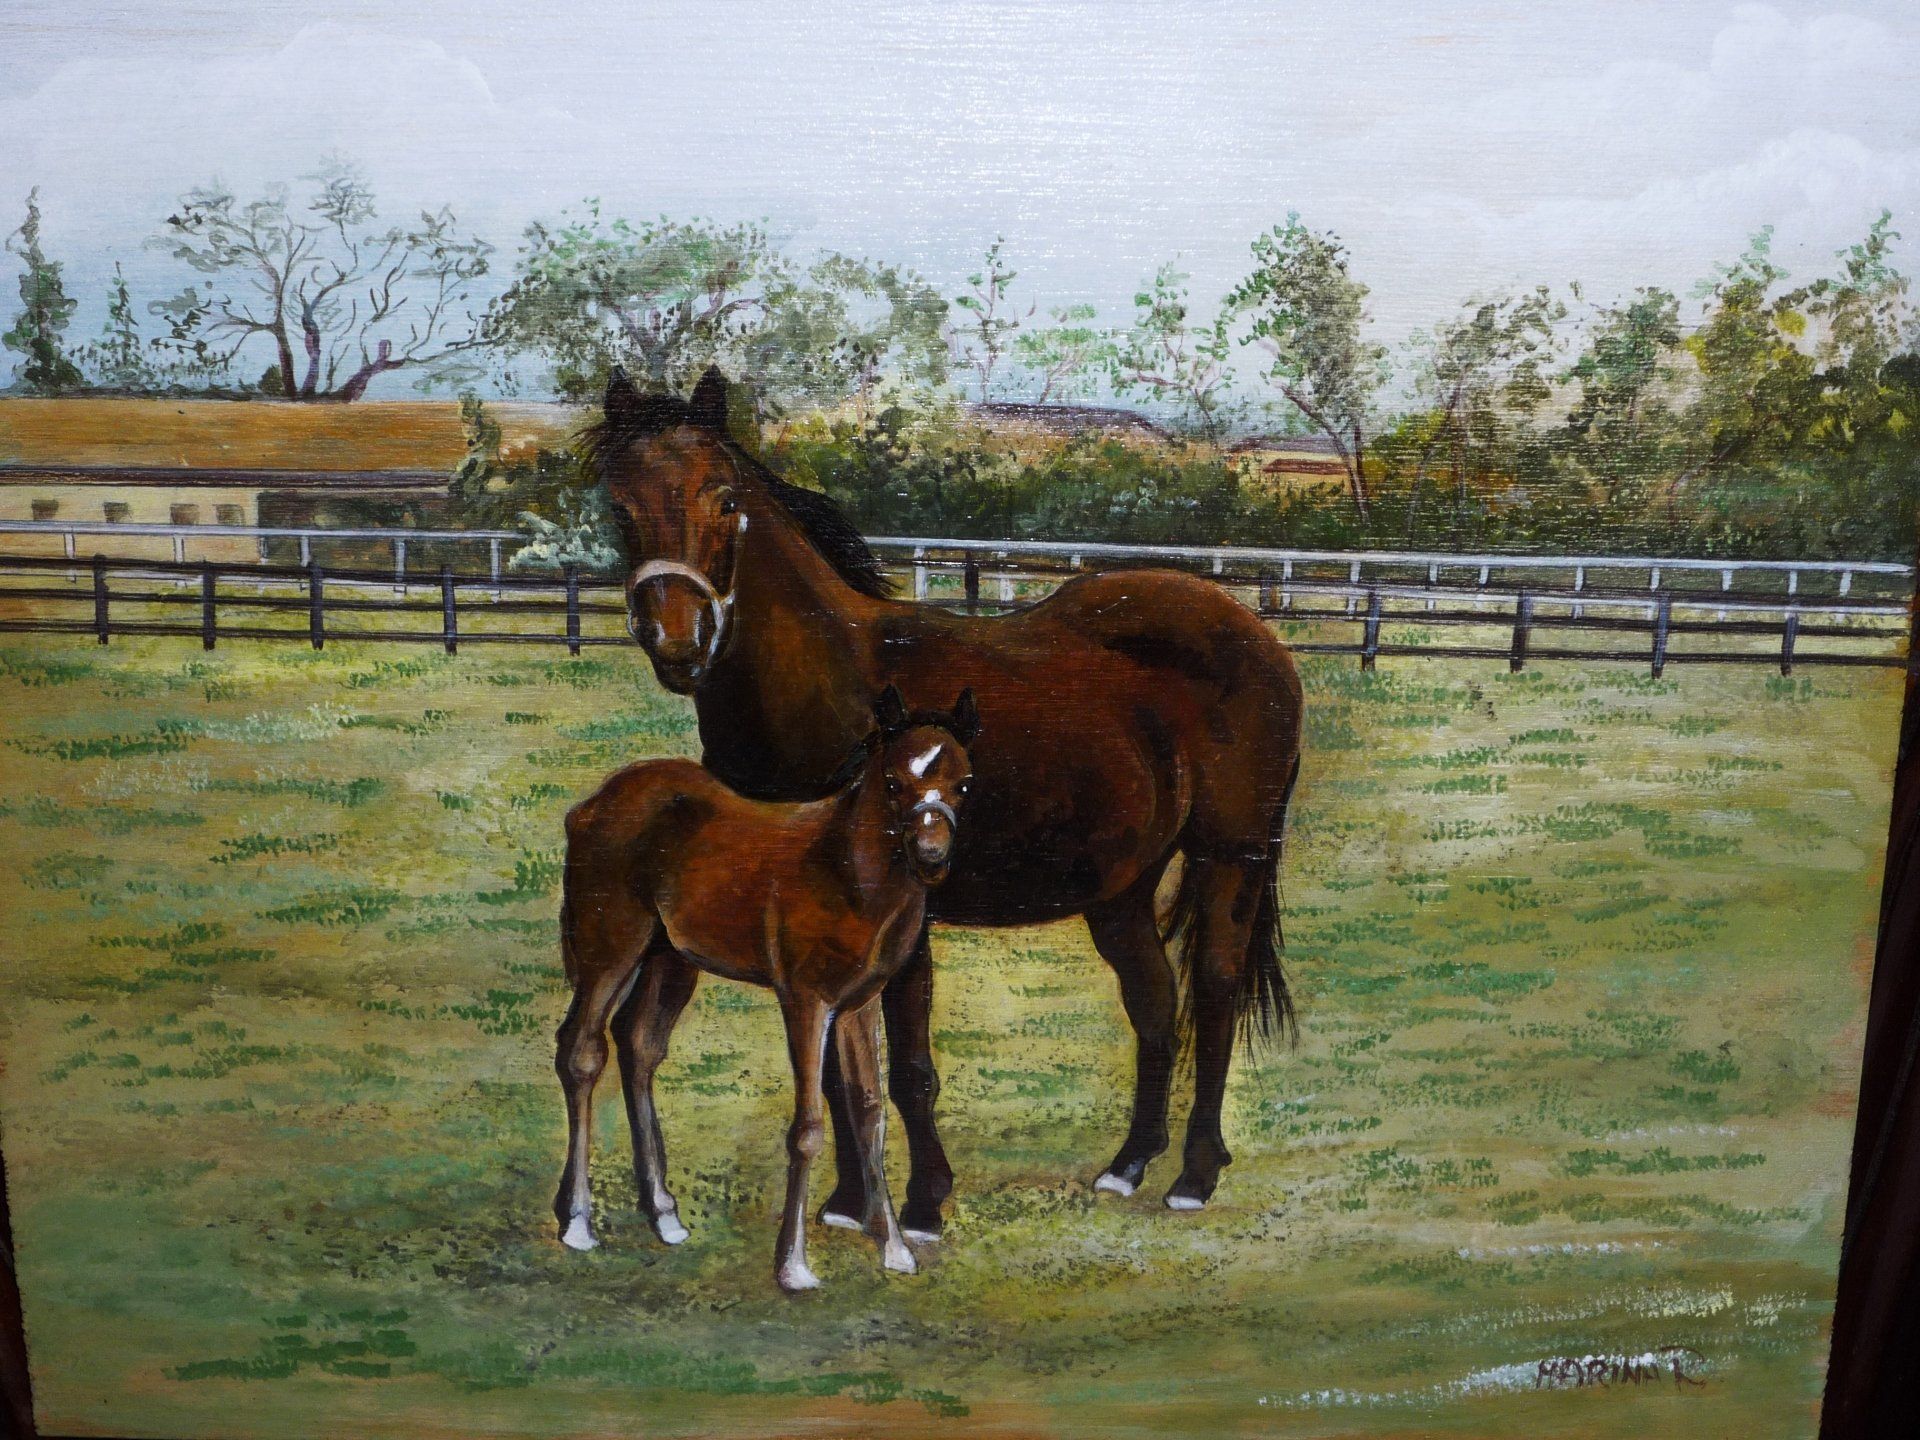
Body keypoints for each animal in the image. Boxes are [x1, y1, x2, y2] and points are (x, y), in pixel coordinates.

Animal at [554, 684, 980, 1292]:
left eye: (963, 783)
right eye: (894, 781)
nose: (931, 857)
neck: (845, 871)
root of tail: (591, 804)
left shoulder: (859, 1003)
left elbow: (869, 1111)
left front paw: (895, 1249)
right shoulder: (805, 1001)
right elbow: (808, 1126)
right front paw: (793, 1265)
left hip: (669, 958)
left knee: (639, 1046)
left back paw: (664, 1213)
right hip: (609, 948)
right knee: (582, 1052)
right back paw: (577, 1223)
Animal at [586, 365, 1305, 1235]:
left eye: (723, 498)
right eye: (619, 505)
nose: (679, 642)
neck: (838, 686)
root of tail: (1254, 632)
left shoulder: (905, 917)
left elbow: (908, 1065)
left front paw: (923, 1203)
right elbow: (840, 1060)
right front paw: (848, 1203)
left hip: (1231, 856)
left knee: (1215, 994)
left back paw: (1195, 1174)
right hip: (1121, 886)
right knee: (1155, 1005)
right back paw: (1129, 1165)